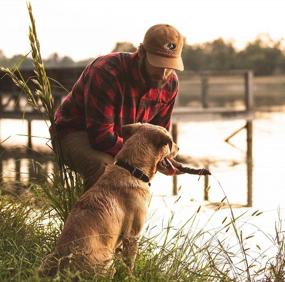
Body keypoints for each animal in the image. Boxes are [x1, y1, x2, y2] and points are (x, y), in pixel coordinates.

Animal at [39, 123, 179, 278]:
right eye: (170, 143)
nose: (179, 148)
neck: (132, 170)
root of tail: (63, 267)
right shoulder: (133, 235)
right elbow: (129, 265)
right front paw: (130, 278)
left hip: (46, 260)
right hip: (108, 263)